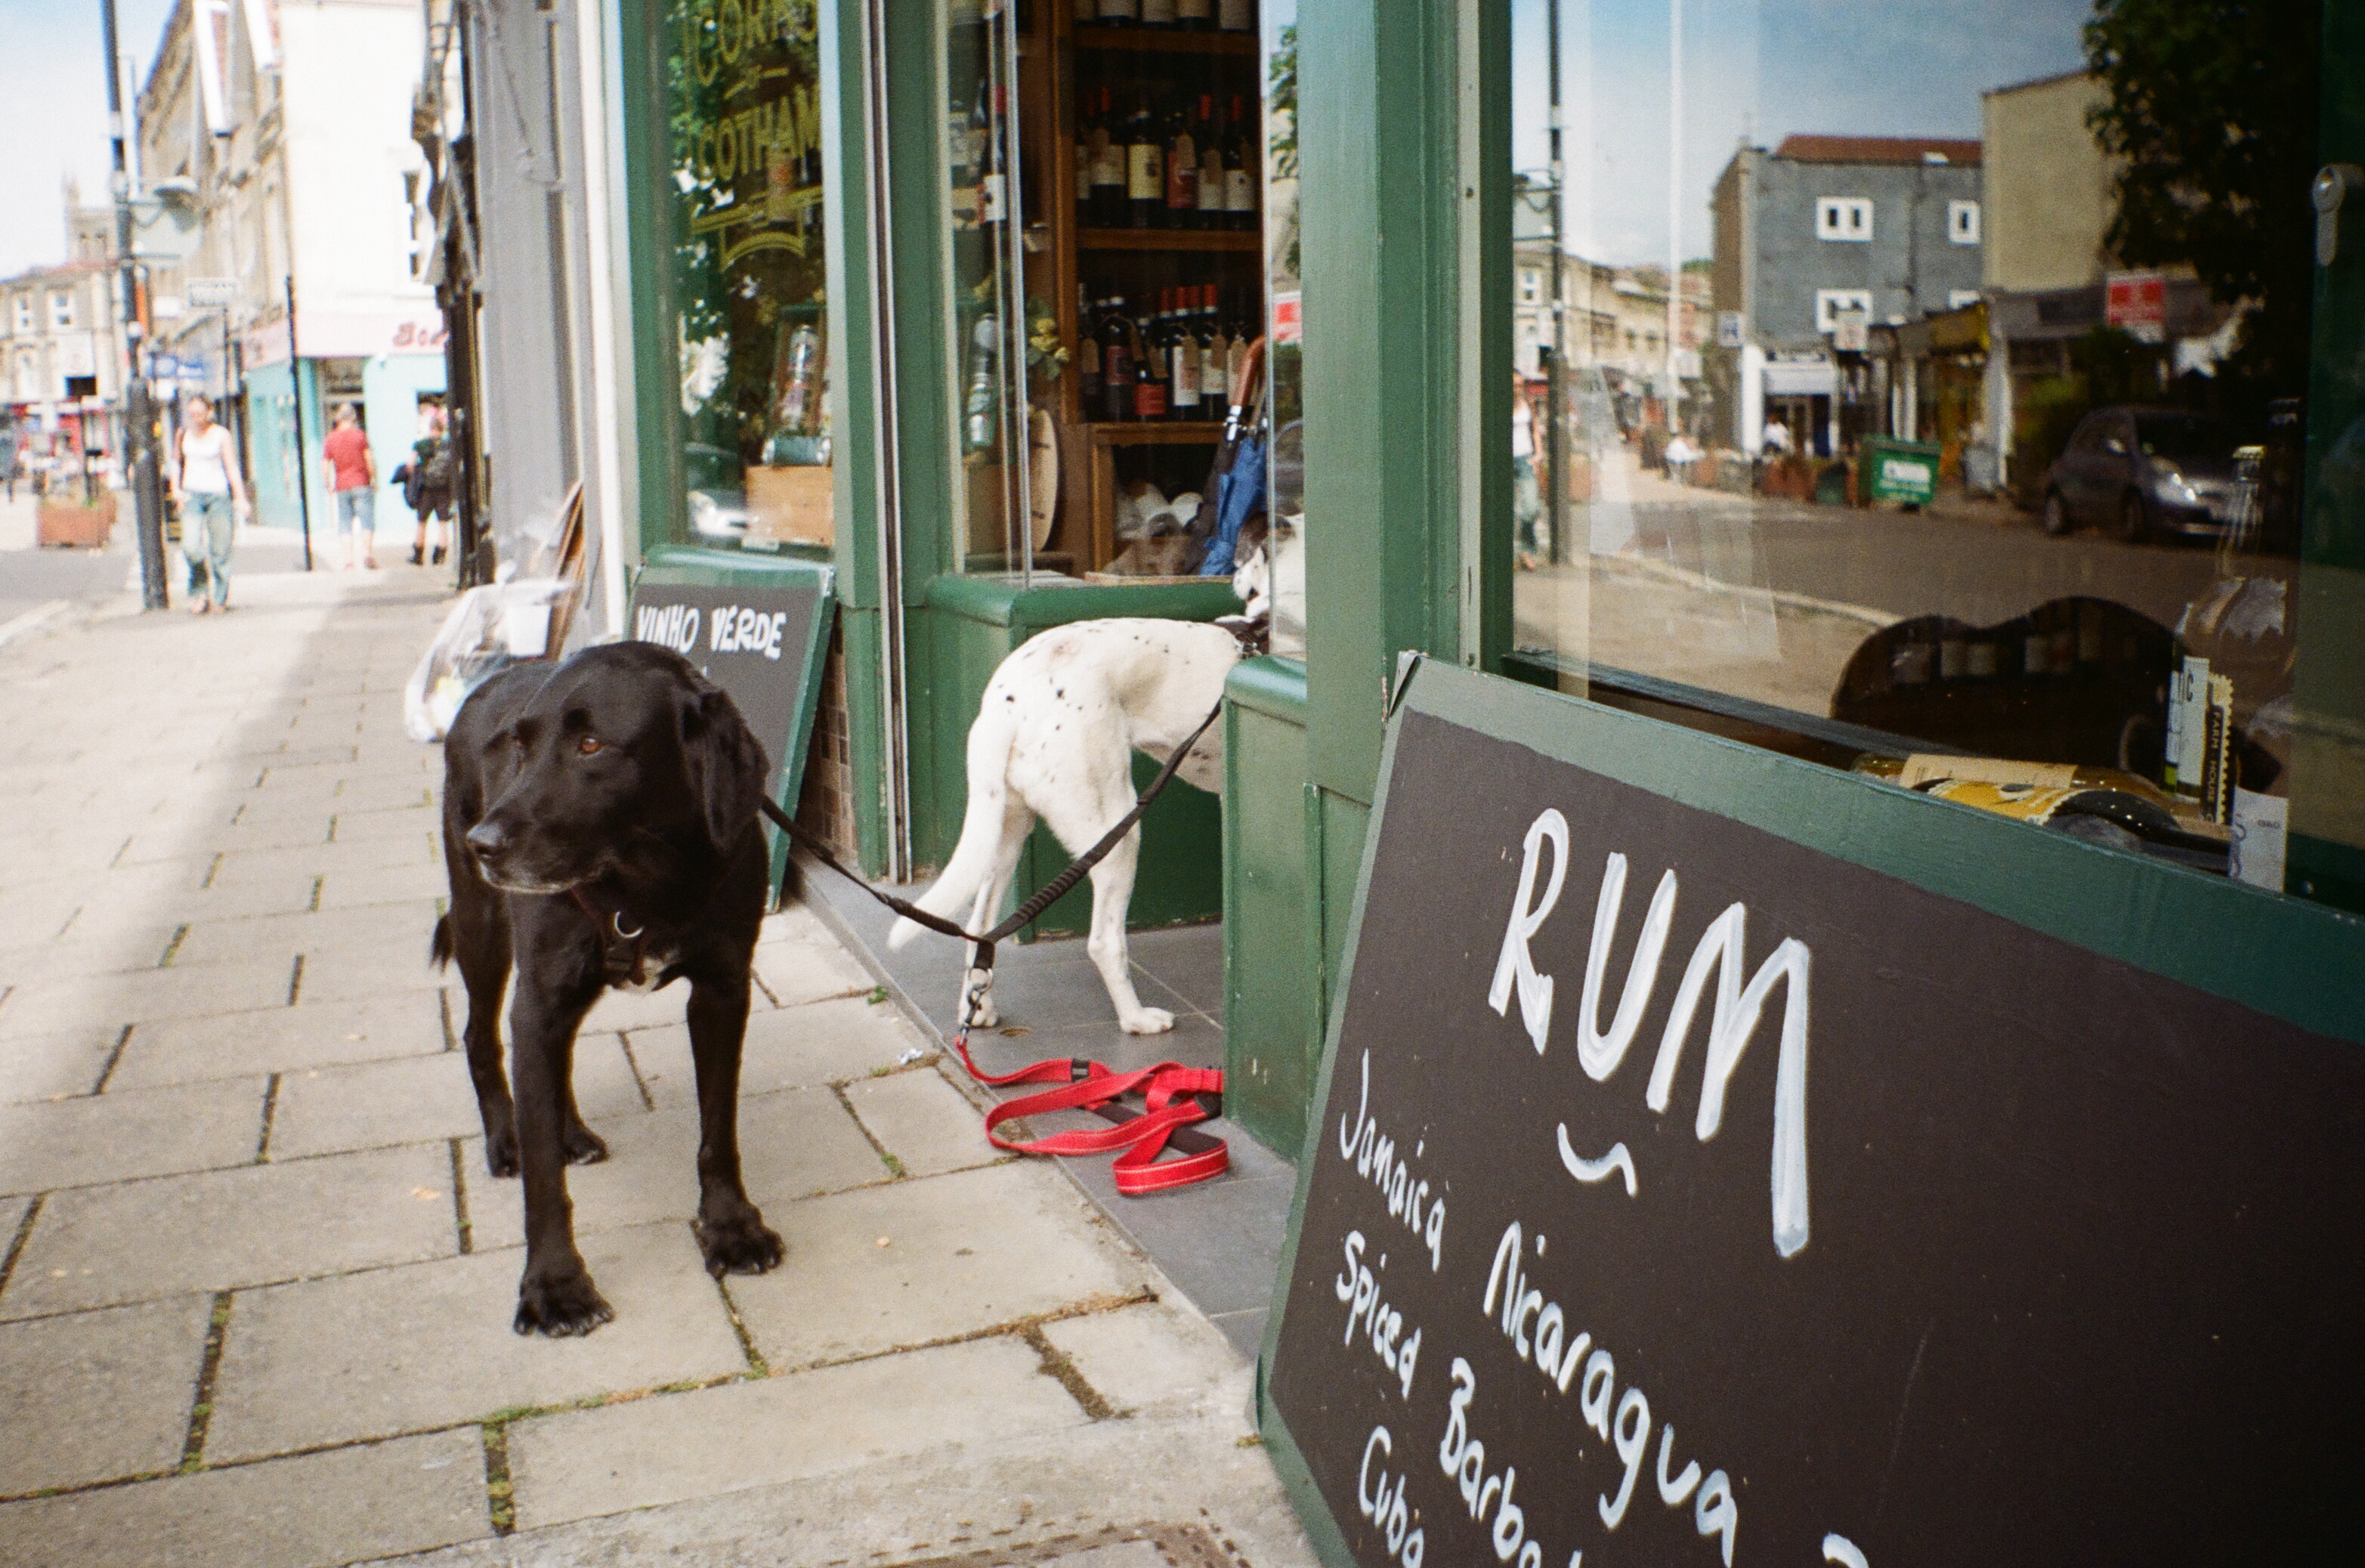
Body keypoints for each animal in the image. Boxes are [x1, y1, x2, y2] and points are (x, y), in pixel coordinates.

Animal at [434, 641, 784, 1335]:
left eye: (592, 745)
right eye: (520, 746)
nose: (483, 843)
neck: (647, 885)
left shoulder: (723, 991)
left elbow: (719, 1130)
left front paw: (731, 1227)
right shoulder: (538, 997)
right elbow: (544, 1182)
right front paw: (554, 1286)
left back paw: (567, 1129)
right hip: (481, 927)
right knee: (481, 1036)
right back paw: (507, 1138)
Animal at [889, 531, 1270, 1034]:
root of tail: (1008, 701)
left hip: (1005, 836)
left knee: (981, 927)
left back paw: (980, 1006)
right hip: (1117, 830)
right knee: (1104, 941)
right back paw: (1136, 1018)